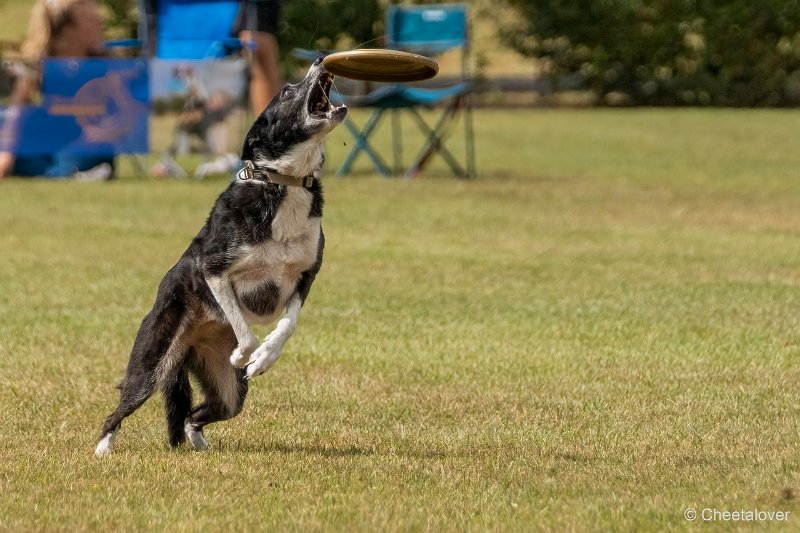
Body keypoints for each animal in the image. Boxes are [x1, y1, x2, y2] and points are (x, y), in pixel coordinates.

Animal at [95, 60, 346, 456]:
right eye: (287, 91)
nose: (321, 60)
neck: (282, 184)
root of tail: (190, 343)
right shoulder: (213, 270)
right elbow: (246, 333)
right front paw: (246, 356)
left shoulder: (305, 276)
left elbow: (286, 325)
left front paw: (263, 360)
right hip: (152, 363)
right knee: (120, 407)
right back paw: (103, 447)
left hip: (228, 390)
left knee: (195, 413)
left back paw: (200, 443)